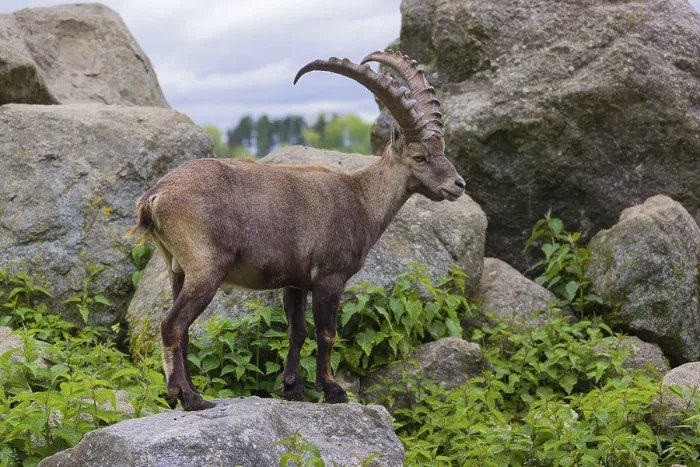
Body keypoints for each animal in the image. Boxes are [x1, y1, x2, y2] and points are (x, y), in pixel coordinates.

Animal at [126, 51, 466, 411]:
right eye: (419, 156)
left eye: (443, 150)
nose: (458, 184)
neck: (360, 197)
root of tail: (154, 196)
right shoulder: (329, 277)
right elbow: (326, 333)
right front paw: (333, 390)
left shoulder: (294, 281)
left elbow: (297, 331)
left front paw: (292, 388)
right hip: (206, 268)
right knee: (172, 325)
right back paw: (189, 397)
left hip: (176, 268)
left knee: (184, 330)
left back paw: (189, 392)